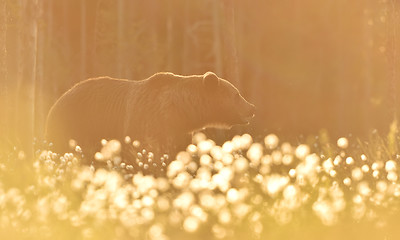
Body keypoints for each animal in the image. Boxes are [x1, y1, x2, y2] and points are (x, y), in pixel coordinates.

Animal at [45, 71, 255, 172]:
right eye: (237, 94)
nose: (251, 107)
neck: (184, 111)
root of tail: (56, 102)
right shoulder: (151, 122)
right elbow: (149, 152)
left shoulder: (180, 132)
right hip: (74, 125)